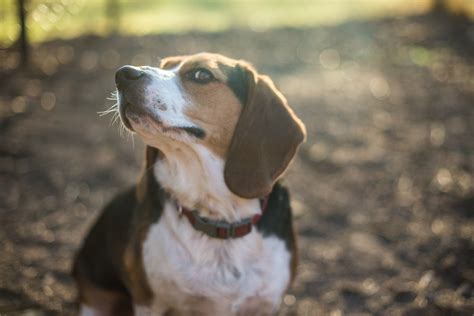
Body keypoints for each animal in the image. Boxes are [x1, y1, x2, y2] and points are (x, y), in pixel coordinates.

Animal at [72, 53, 306, 314]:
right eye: (164, 66)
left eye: (201, 74)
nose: (123, 74)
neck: (218, 218)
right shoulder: (148, 302)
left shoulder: (266, 304)